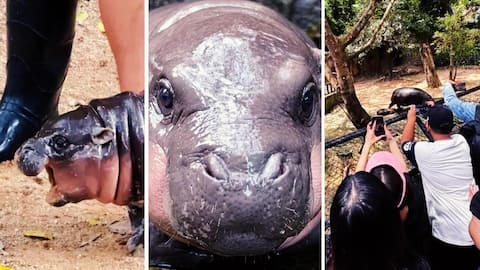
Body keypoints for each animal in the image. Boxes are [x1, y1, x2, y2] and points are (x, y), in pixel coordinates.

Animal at [16, 92, 144, 252]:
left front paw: (137, 247)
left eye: (60, 142)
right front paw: (131, 243)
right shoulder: (133, 196)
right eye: (42, 127)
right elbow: (136, 217)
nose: (22, 152)